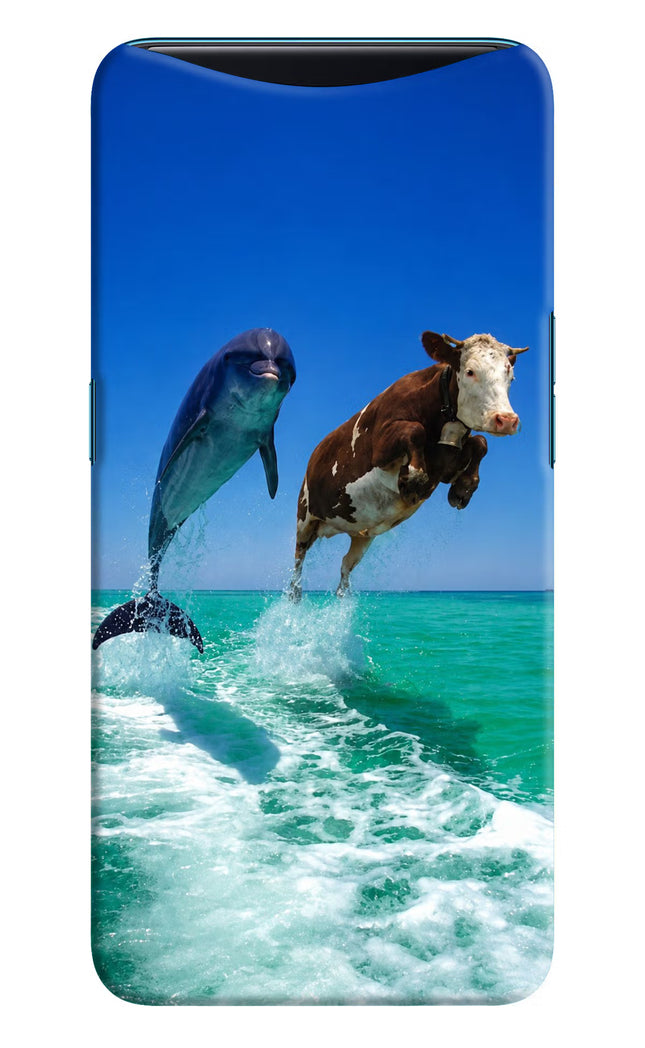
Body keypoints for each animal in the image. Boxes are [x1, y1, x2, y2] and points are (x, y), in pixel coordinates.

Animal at [289, 330, 528, 600]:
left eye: (510, 375)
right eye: (470, 371)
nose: (506, 420)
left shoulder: (446, 465)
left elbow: (480, 442)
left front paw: (463, 488)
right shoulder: (380, 447)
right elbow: (415, 430)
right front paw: (413, 479)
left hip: (361, 534)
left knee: (345, 566)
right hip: (305, 516)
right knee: (298, 560)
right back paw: (295, 594)